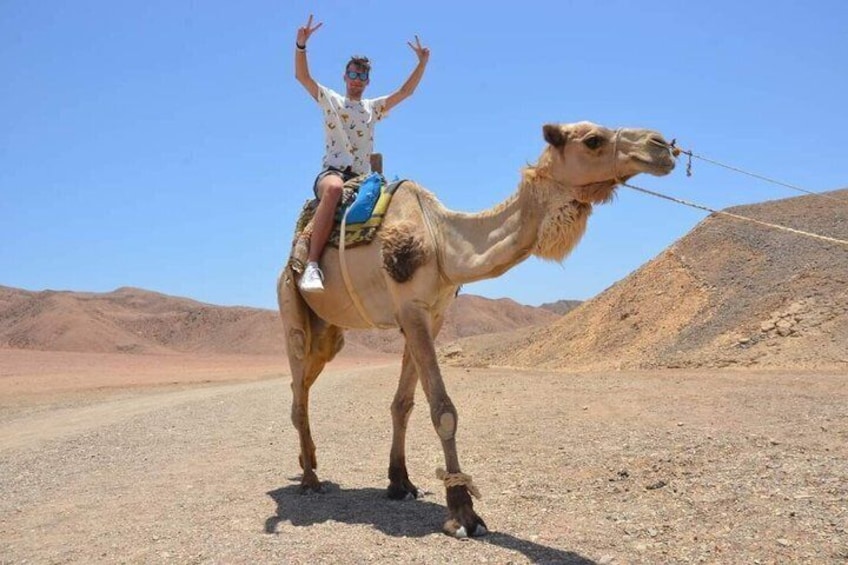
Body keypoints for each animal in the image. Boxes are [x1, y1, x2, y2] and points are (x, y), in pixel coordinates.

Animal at [277, 121, 677, 537]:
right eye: (593, 140)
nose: (662, 146)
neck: (441, 240)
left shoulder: (430, 315)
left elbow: (404, 404)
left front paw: (400, 483)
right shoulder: (410, 307)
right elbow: (443, 410)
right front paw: (463, 512)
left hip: (330, 333)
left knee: (301, 384)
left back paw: (311, 462)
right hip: (291, 306)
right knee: (299, 388)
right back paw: (309, 480)